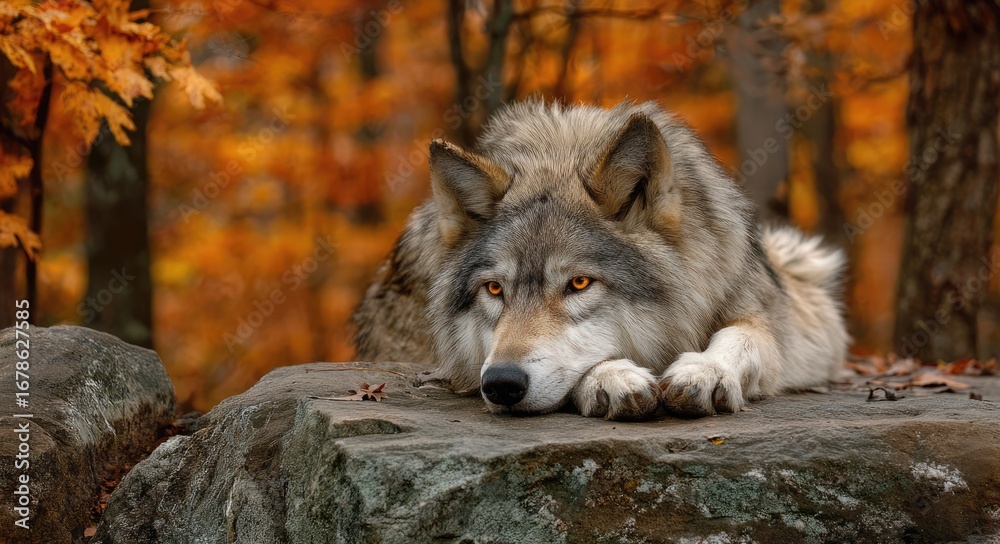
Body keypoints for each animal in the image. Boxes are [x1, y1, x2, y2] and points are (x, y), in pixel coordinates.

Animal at [352, 100, 848, 420]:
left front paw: (705, 370)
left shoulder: (756, 313)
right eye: (494, 289)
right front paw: (611, 379)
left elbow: (740, 338)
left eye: (579, 284)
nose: (502, 383)